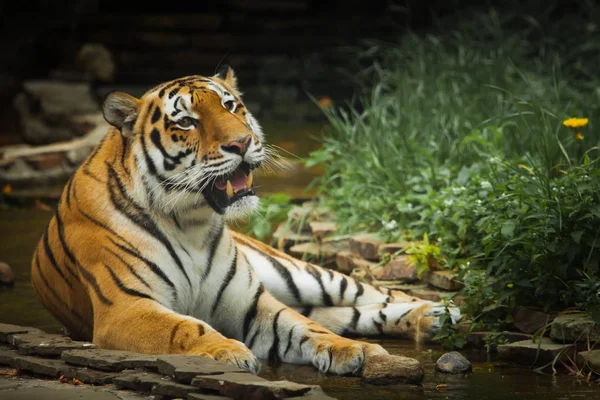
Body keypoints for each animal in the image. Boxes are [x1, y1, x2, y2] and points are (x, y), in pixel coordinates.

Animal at [30, 67, 460, 376]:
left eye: (230, 106)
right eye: (186, 122)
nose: (241, 143)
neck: (191, 222)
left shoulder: (252, 303)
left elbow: (304, 327)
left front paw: (351, 350)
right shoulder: (126, 307)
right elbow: (185, 326)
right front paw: (227, 350)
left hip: (295, 273)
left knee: (372, 293)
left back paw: (439, 312)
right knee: (343, 312)